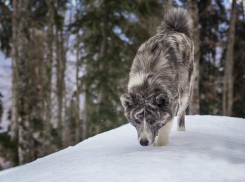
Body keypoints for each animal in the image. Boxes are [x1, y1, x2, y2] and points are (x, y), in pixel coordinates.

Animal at [119, 8, 194, 146]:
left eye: (152, 120)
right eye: (137, 121)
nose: (143, 142)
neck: (147, 83)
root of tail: (176, 29)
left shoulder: (171, 104)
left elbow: (164, 128)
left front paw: (160, 146)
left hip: (185, 91)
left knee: (181, 115)